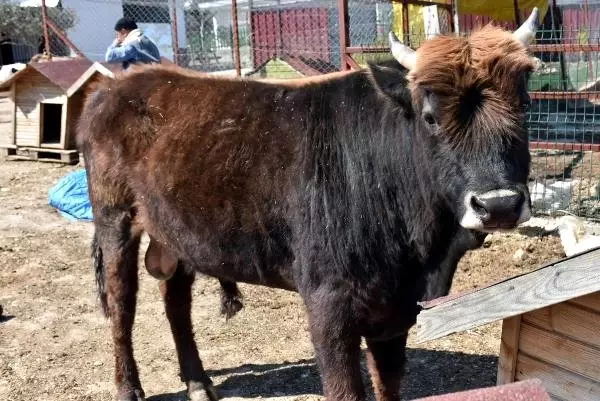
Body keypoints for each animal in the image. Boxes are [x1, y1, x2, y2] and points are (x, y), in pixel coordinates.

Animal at [78, 8, 540, 400]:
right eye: (430, 117)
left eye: (525, 106)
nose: (499, 205)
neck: (421, 254)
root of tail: (113, 89)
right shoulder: (327, 302)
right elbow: (345, 389)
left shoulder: (396, 310)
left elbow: (388, 383)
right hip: (115, 221)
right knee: (122, 306)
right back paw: (129, 387)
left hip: (176, 233)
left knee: (175, 302)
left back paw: (197, 382)